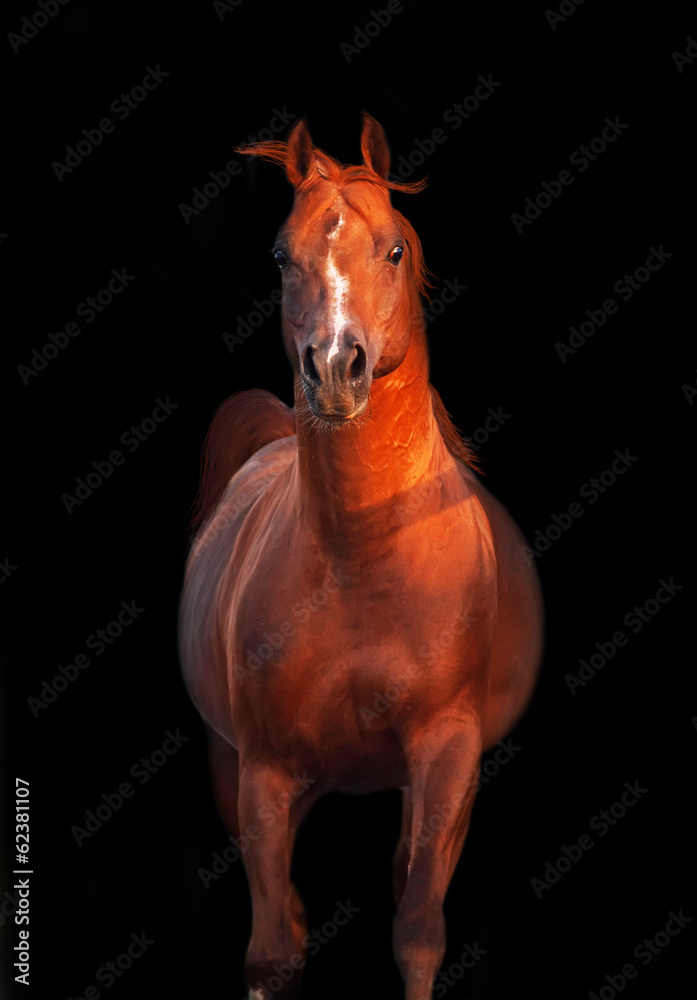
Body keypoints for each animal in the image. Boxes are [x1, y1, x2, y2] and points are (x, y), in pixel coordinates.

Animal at [178, 112, 544, 999]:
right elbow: (272, 951)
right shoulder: (265, 772)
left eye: (395, 249)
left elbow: (415, 930)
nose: (335, 369)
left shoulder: (446, 756)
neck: (361, 568)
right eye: (281, 254)